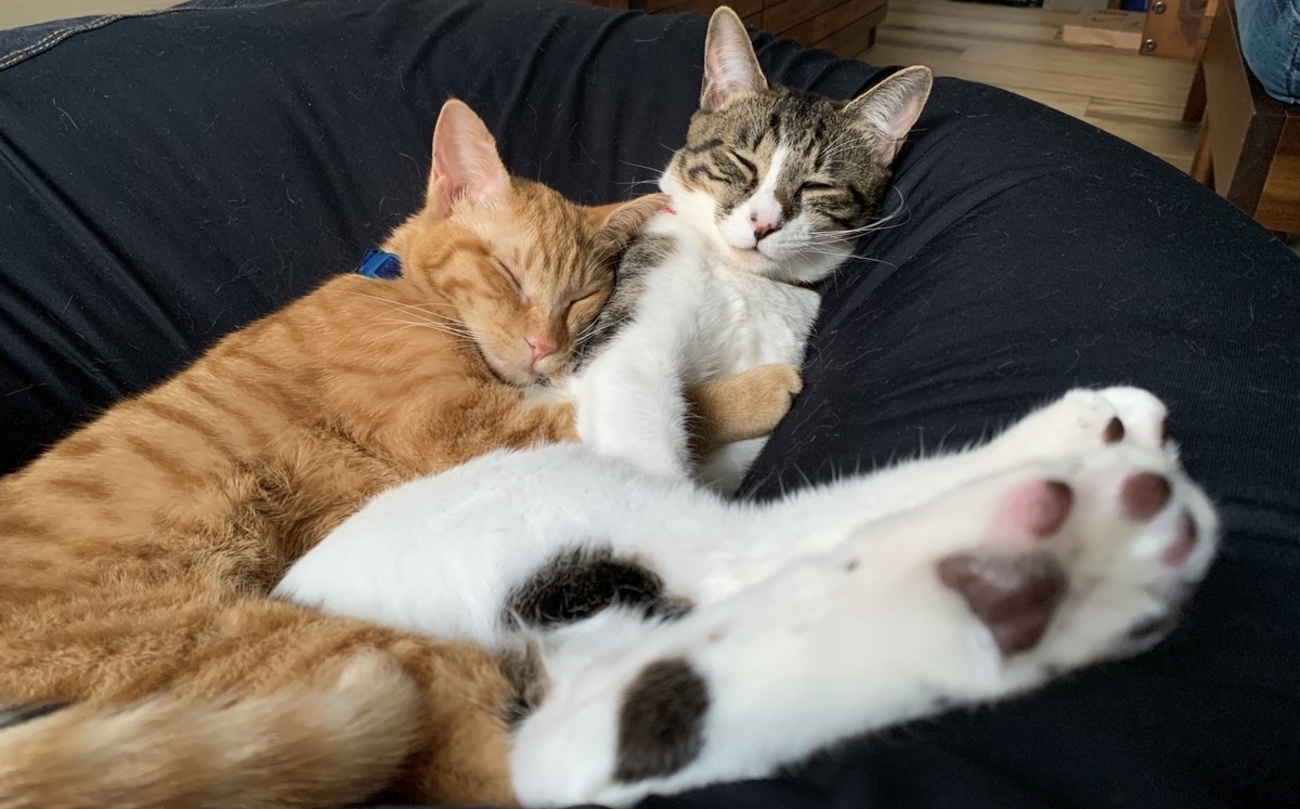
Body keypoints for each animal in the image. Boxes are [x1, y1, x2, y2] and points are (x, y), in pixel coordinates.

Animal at [0, 98, 796, 808]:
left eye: (579, 300)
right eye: (509, 276)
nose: (543, 347)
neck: (406, 291)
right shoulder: (467, 431)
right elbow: (681, 402)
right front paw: (764, 384)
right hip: (299, 650)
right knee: (488, 770)